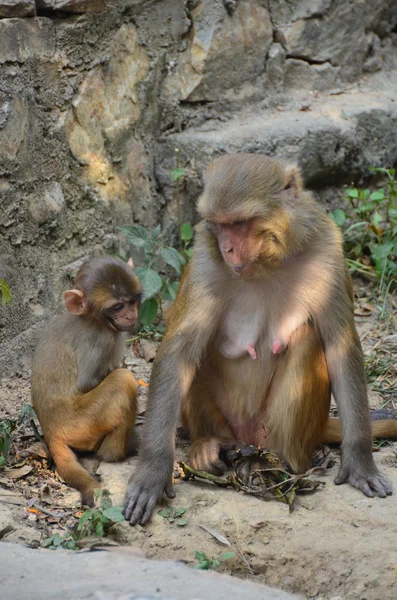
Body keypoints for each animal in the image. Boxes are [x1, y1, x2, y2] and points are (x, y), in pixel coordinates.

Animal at [32, 255, 141, 504]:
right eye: (117, 307)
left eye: (133, 301)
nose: (130, 315)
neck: (94, 319)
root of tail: (51, 431)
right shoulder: (101, 339)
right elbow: (87, 383)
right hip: (82, 423)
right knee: (123, 381)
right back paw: (116, 453)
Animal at [124, 154, 392, 524]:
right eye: (219, 225)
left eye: (240, 223)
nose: (227, 247)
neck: (266, 262)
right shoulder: (205, 259)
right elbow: (178, 355)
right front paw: (152, 470)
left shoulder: (328, 253)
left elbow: (340, 347)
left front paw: (360, 461)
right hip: (227, 421)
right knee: (197, 355)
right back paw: (211, 446)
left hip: (278, 429)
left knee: (307, 339)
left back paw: (285, 463)